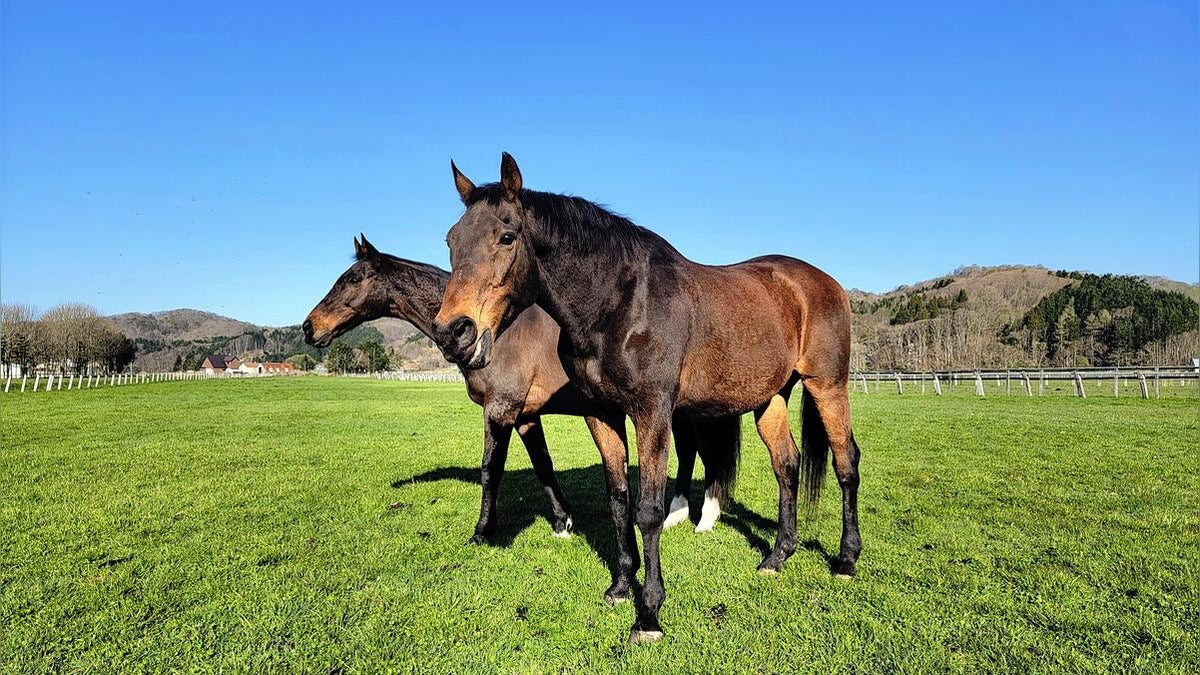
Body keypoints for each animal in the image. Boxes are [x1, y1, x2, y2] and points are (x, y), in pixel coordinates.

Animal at [302, 236, 740, 598]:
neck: (493, 332)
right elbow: (543, 466)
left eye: (353, 278)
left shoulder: (500, 410)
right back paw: (680, 514)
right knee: (691, 453)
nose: (309, 327)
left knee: (703, 454)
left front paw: (482, 533)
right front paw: (563, 523)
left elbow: (490, 471)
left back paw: (702, 517)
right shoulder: (526, 417)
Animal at [432, 154, 862, 643]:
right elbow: (619, 499)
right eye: (451, 240)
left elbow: (650, 510)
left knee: (846, 463)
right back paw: (777, 556)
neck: (620, 303)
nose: (453, 332)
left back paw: (846, 560)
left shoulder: (652, 413)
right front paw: (621, 585)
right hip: (770, 397)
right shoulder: (601, 415)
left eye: (506, 236)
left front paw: (649, 613)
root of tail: (823, 282)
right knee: (786, 465)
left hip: (827, 385)